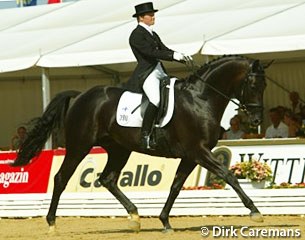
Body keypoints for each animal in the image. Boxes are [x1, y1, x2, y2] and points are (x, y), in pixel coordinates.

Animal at [13, 54, 266, 232]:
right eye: (253, 86)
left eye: (263, 87)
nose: (256, 120)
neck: (200, 98)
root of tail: (82, 95)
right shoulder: (199, 151)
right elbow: (228, 175)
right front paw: (255, 211)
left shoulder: (190, 155)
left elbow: (175, 186)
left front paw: (165, 222)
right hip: (79, 146)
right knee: (61, 178)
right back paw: (52, 223)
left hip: (119, 150)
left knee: (107, 179)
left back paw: (134, 217)